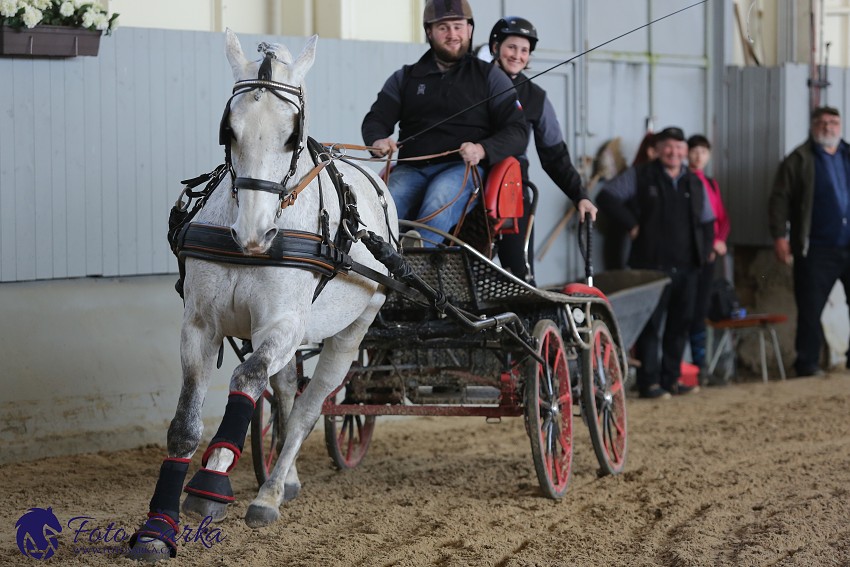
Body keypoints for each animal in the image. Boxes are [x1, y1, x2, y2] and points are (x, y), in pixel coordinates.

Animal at [129, 30, 398, 560]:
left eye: (293, 134)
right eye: (228, 131)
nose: (253, 234)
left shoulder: (282, 325)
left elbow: (248, 379)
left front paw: (211, 485)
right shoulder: (200, 327)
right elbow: (185, 426)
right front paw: (157, 527)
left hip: (352, 331)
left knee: (309, 408)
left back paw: (269, 494)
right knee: (288, 394)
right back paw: (284, 479)